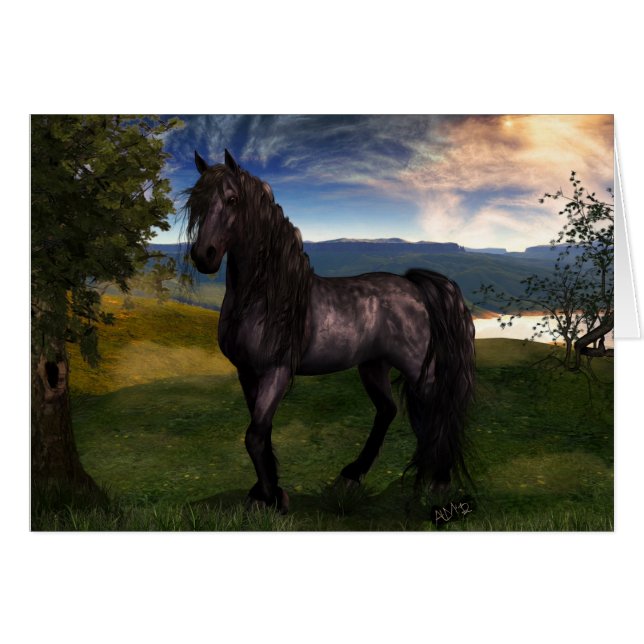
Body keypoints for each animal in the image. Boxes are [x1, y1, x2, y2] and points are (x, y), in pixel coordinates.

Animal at [186, 149, 475, 513]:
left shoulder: (277, 371)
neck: (265, 297)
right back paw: (354, 475)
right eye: (196, 202)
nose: (203, 256)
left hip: (417, 369)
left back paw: (439, 481)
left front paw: (271, 497)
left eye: (233, 199)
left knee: (437, 411)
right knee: (390, 411)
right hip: (373, 366)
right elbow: (261, 431)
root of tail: (414, 286)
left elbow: (255, 434)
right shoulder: (247, 372)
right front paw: (265, 493)